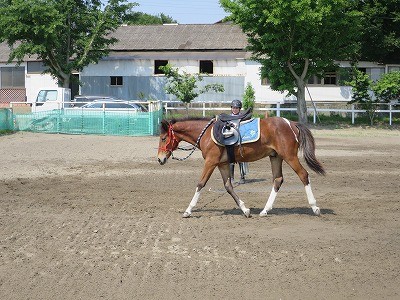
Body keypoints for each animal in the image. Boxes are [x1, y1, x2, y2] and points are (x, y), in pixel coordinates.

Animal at [156, 116, 324, 218]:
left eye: (163, 138)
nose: (160, 159)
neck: (206, 134)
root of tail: (291, 123)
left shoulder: (210, 162)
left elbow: (200, 184)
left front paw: (188, 210)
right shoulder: (222, 164)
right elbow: (228, 186)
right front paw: (245, 209)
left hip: (289, 156)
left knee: (303, 175)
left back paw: (315, 207)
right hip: (276, 157)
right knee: (278, 180)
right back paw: (265, 210)